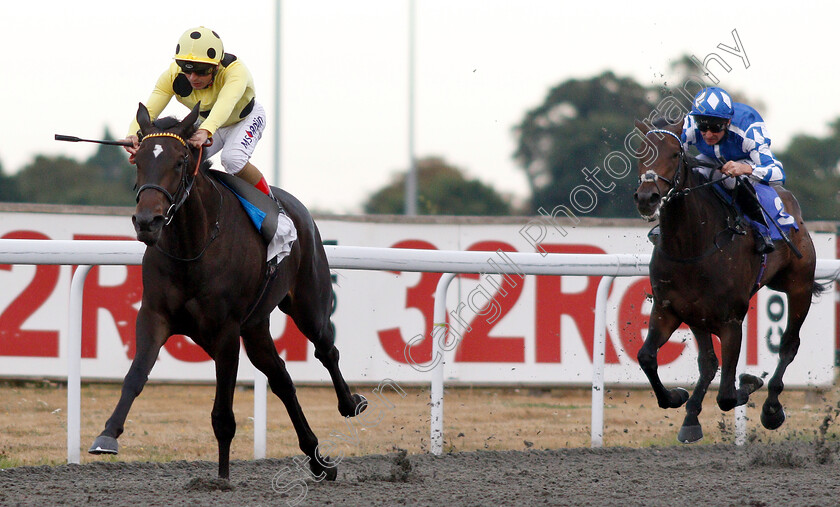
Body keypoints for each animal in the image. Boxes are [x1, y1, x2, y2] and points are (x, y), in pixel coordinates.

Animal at [89, 103, 368, 480]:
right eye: (138, 159)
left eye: (180, 160)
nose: (147, 221)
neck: (193, 245)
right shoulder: (154, 315)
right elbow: (135, 376)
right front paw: (107, 435)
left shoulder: (226, 331)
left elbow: (223, 413)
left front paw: (222, 477)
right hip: (256, 327)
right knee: (281, 378)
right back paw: (316, 458)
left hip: (309, 303)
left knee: (327, 350)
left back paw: (350, 404)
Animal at [632, 119, 820, 444]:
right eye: (641, 154)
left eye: (674, 154)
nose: (647, 198)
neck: (691, 247)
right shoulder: (669, 309)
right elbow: (647, 357)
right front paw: (677, 398)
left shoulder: (731, 320)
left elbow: (728, 395)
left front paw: (750, 381)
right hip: (700, 314)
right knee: (708, 363)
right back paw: (691, 417)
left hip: (800, 287)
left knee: (788, 345)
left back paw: (772, 408)